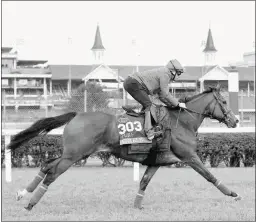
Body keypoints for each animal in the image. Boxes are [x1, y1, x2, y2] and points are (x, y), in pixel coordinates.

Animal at [9, 84, 240, 210]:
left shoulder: (157, 161)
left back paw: (22, 193)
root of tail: (76, 114)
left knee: (47, 164)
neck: (182, 121)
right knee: (51, 174)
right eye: (224, 102)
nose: (235, 120)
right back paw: (30, 204)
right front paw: (233, 194)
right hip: (74, 156)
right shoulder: (189, 156)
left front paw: (137, 206)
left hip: (73, 154)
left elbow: (144, 182)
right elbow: (209, 176)